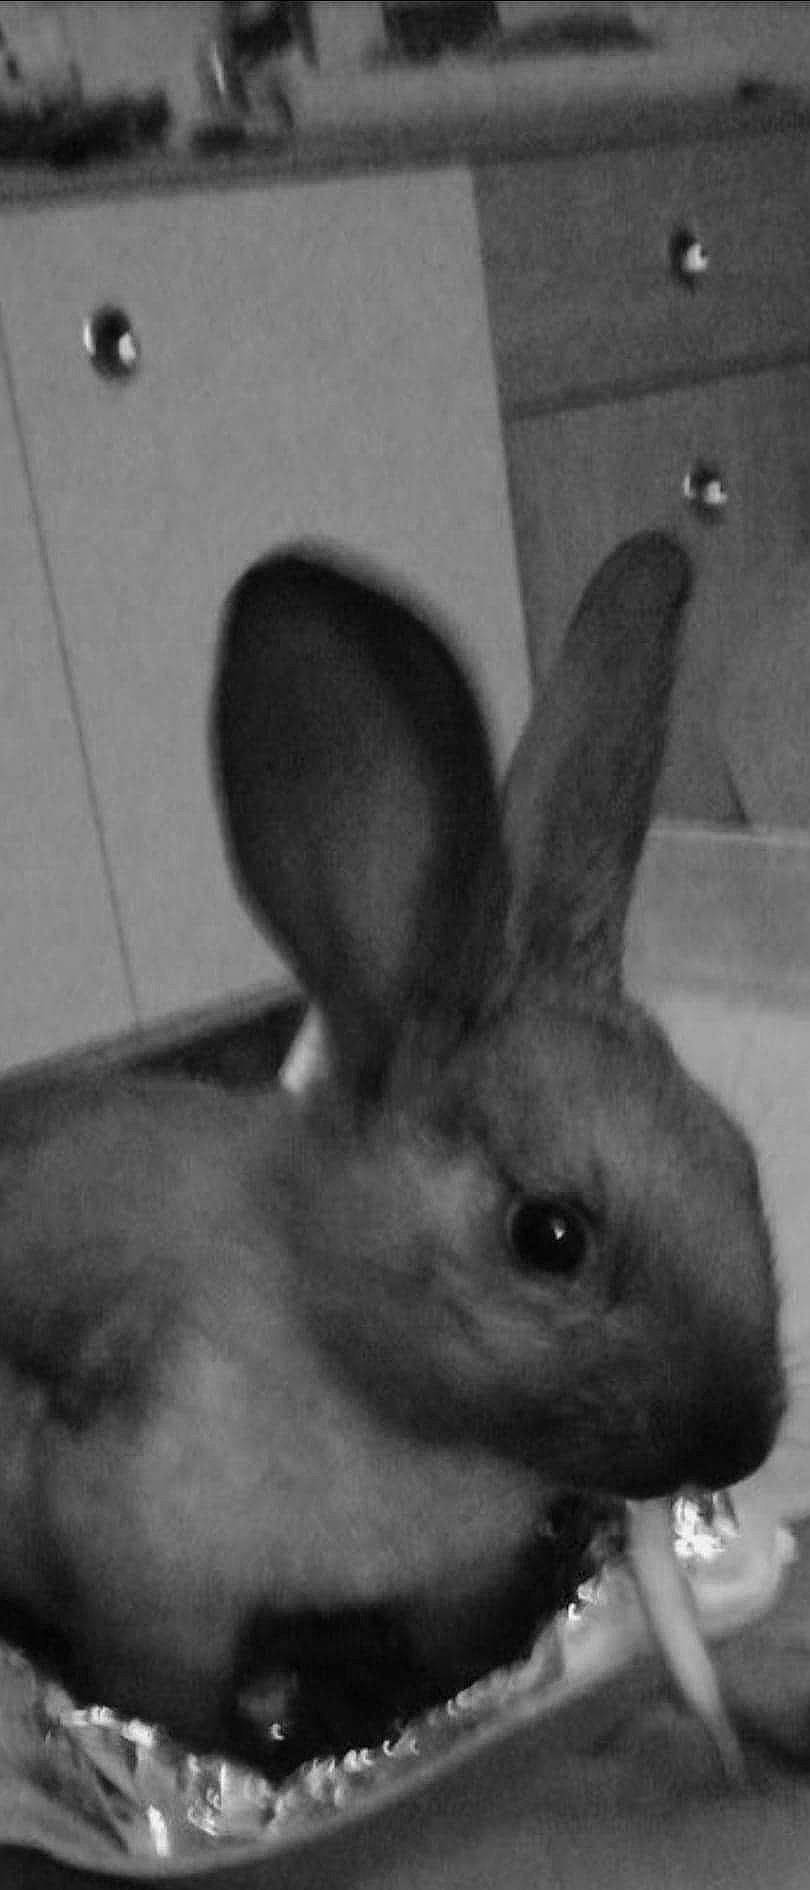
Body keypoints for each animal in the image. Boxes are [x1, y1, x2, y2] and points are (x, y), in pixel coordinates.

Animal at [0, 531, 785, 1772]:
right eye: (548, 1236)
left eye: (741, 1159)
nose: (743, 1445)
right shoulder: (147, 1591)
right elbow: (170, 1691)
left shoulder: (457, 1589)